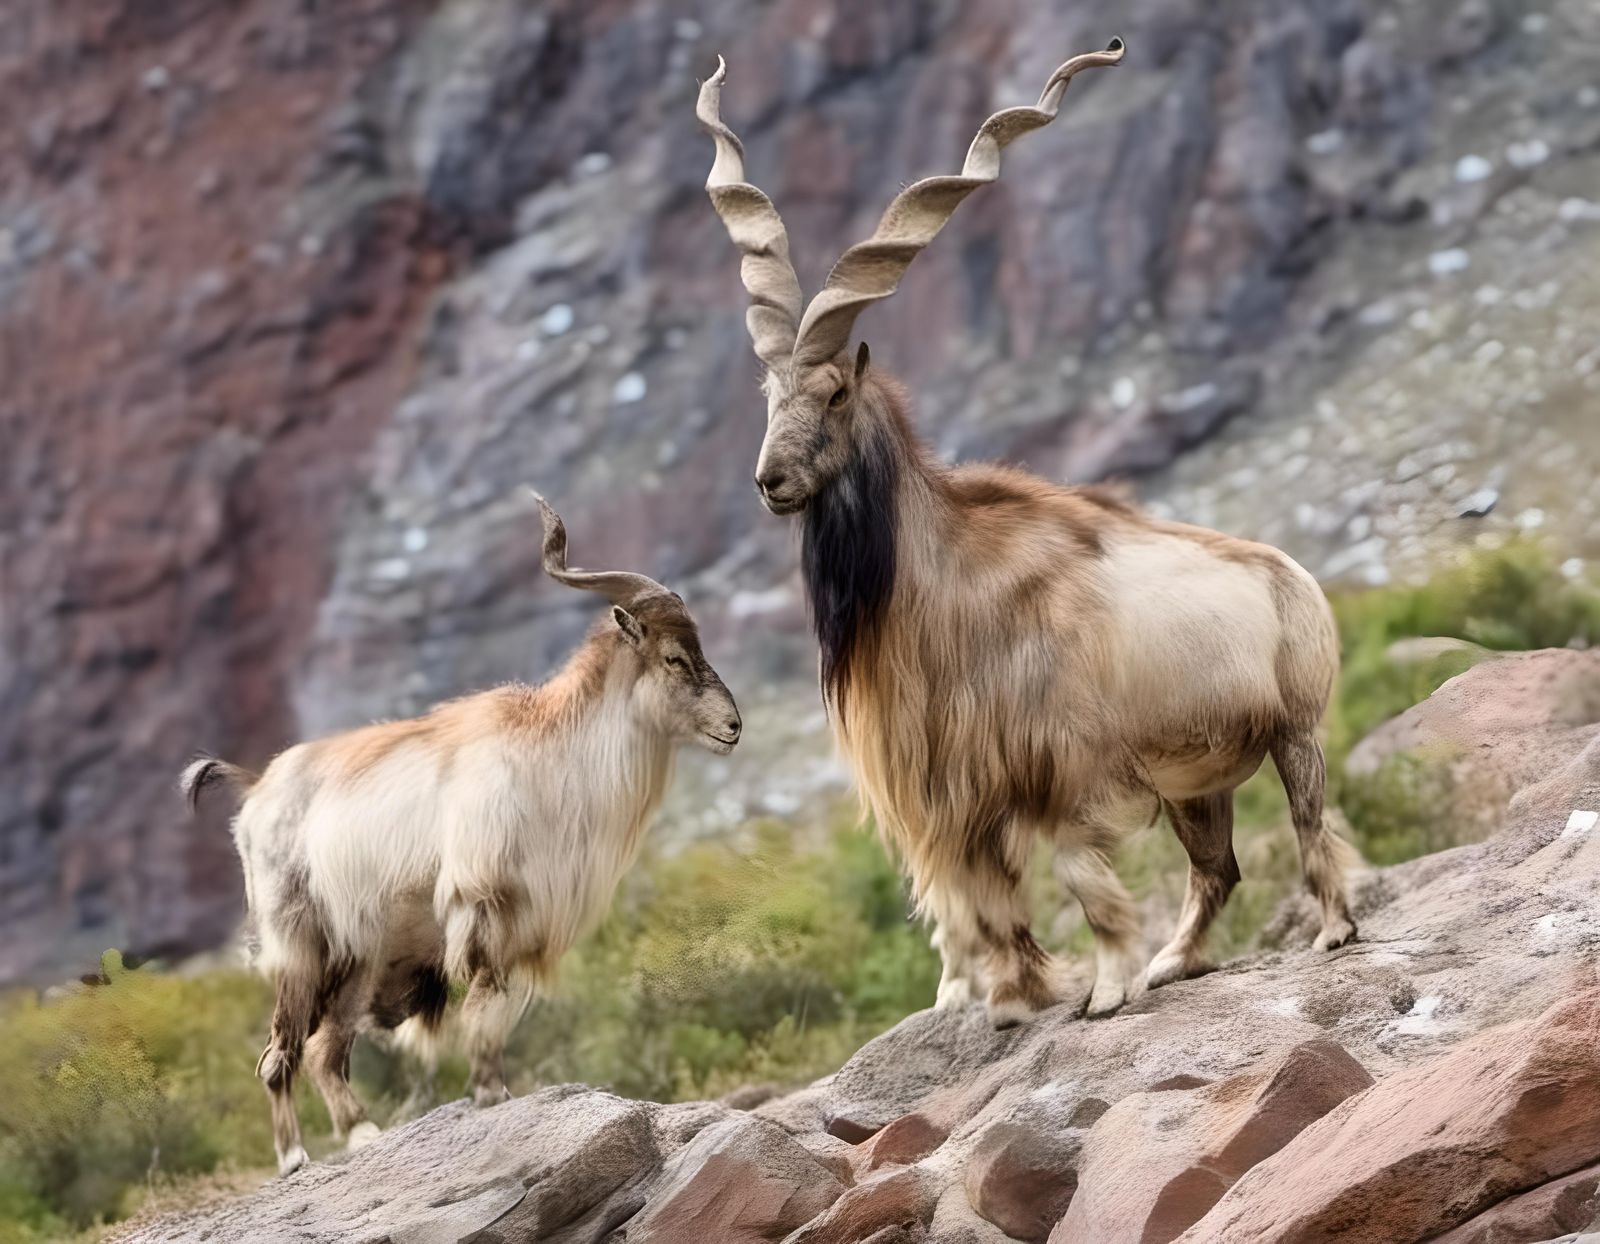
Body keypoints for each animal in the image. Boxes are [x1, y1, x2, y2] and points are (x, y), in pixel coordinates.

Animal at [180, 496, 741, 1174]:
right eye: (675, 658)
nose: (733, 727)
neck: (551, 756)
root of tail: (256, 791)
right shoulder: (483, 904)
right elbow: (483, 1006)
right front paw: (490, 1093)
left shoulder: (523, 920)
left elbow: (497, 1013)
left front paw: (497, 1090)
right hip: (302, 945)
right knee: (277, 1055)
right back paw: (295, 1157)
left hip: (361, 956)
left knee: (324, 1050)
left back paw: (361, 1132)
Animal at [698, 41, 1356, 1028]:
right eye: (767, 394)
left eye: (836, 392)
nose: (770, 482)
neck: (942, 583)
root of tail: (1292, 574)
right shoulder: (952, 795)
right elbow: (975, 902)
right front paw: (1002, 998)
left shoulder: (1069, 773)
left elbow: (1082, 877)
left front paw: (1105, 990)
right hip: (1199, 780)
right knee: (1217, 869)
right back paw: (1175, 963)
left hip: (1296, 731)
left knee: (1312, 825)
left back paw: (1330, 931)